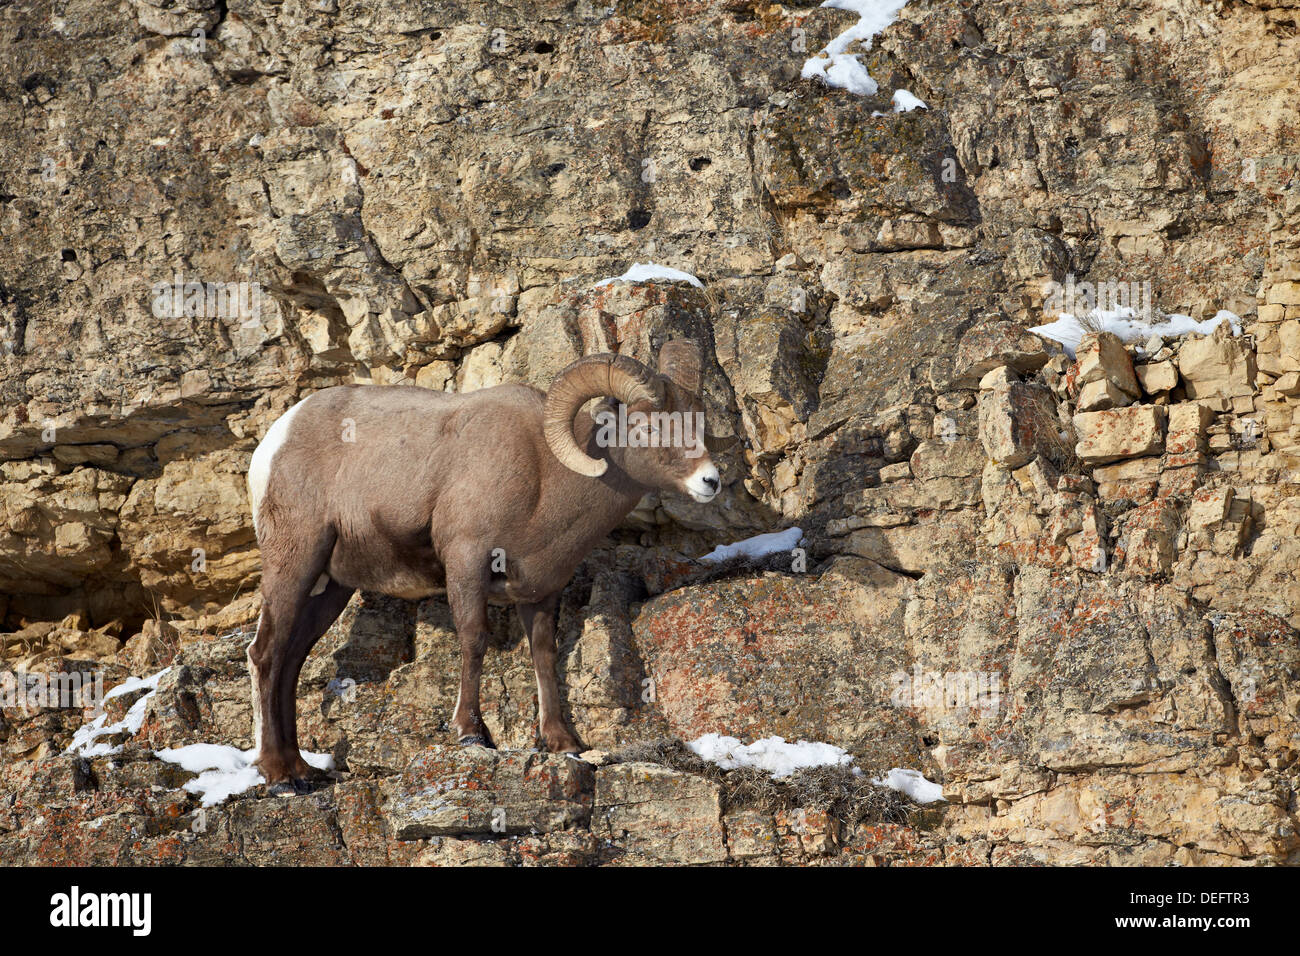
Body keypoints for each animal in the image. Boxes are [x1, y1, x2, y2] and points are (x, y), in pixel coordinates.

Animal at [244, 340, 722, 790]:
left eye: (697, 422)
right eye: (647, 426)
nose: (710, 481)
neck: (544, 476)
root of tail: (276, 441)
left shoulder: (541, 591)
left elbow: (544, 655)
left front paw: (562, 742)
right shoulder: (466, 562)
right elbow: (474, 641)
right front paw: (472, 733)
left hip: (331, 588)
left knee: (291, 661)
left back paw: (300, 770)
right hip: (294, 562)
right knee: (266, 654)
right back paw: (278, 776)